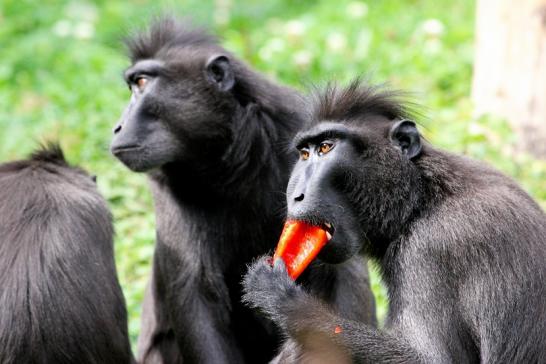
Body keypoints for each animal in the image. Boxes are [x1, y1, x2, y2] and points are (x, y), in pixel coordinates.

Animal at [109, 18, 376, 362]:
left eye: (142, 83)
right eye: (133, 84)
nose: (117, 127)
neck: (229, 165)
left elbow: (341, 273)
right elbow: (197, 292)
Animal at [244, 82, 544, 364]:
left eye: (326, 148)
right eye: (305, 154)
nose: (295, 195)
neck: (422, 198)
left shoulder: (427, 250)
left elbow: (431, 359)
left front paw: (284, 300)